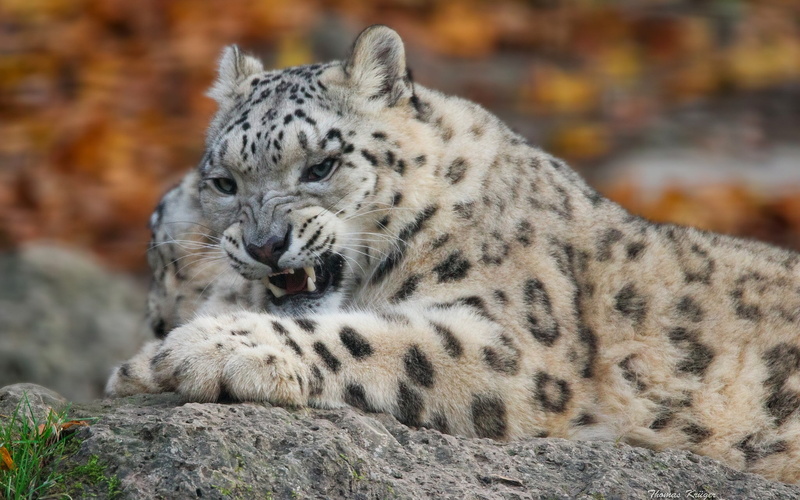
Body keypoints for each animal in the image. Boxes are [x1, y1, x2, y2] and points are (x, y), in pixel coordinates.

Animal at [106, 25, 800, 484]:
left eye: (321, 165)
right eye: (224, 182)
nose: (264, 243)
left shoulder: (516, 350)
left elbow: (373, 339)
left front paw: (202, 349)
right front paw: (145, 365)